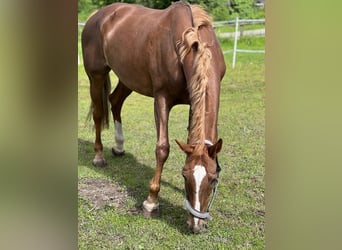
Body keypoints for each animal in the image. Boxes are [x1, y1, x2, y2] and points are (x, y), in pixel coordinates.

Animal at [81, 0, 226, 233]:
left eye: (213, 179)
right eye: (184, 175)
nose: (195, 225)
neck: (185, 43)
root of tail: (97, 16)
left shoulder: (193, 101)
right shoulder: (162, 98)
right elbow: (162, 148)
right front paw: (151, 202)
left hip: (128, 77)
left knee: (115, 101)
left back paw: (119, 147)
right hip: (96, 75)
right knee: (97, 113)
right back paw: (99, 157)